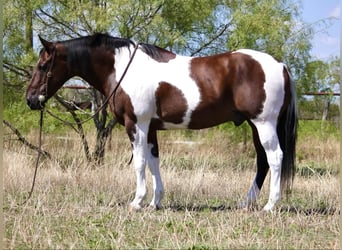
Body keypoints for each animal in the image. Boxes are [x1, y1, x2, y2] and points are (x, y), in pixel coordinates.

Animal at [25, 33, 296, 212]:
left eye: (43, 65)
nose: (30, 99)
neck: (123, 68)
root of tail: (280, 64)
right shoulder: (151, 128)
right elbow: (154, 163)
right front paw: (155, 202)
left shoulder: (136, 124)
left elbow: (140, 163)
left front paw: (136, 202)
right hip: (255, 125)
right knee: (262, 161)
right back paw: (246, 203)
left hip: (264, 123)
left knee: (274, 158)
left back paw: (270, 206)